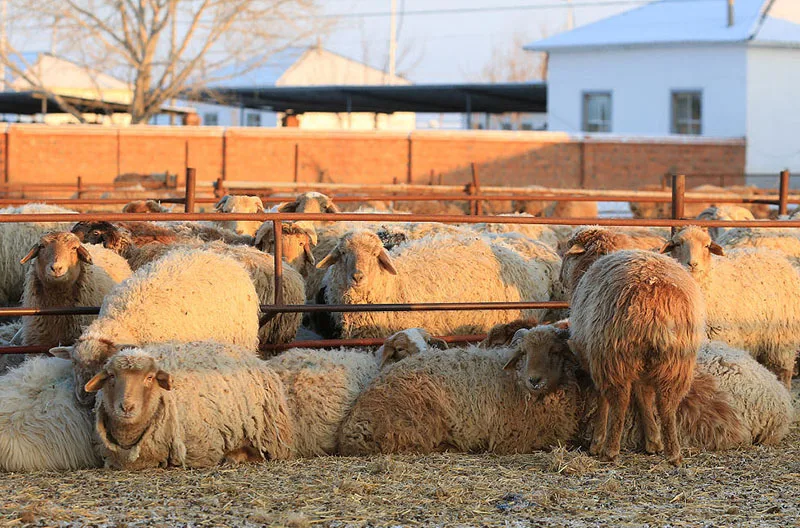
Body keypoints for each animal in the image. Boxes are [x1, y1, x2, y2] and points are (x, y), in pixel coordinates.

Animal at [86, 342, 292, 470]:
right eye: (111, 376)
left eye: (149, 377)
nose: (126, 407)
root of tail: (254, 357)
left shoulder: (202, 450)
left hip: (269, 434)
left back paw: (234, 456)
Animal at [664, 227, 800, 388]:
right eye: (677, 244)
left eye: (706, 246)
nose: (692, 264)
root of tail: (776, 255)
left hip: (782, 339)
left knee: (782, 371)